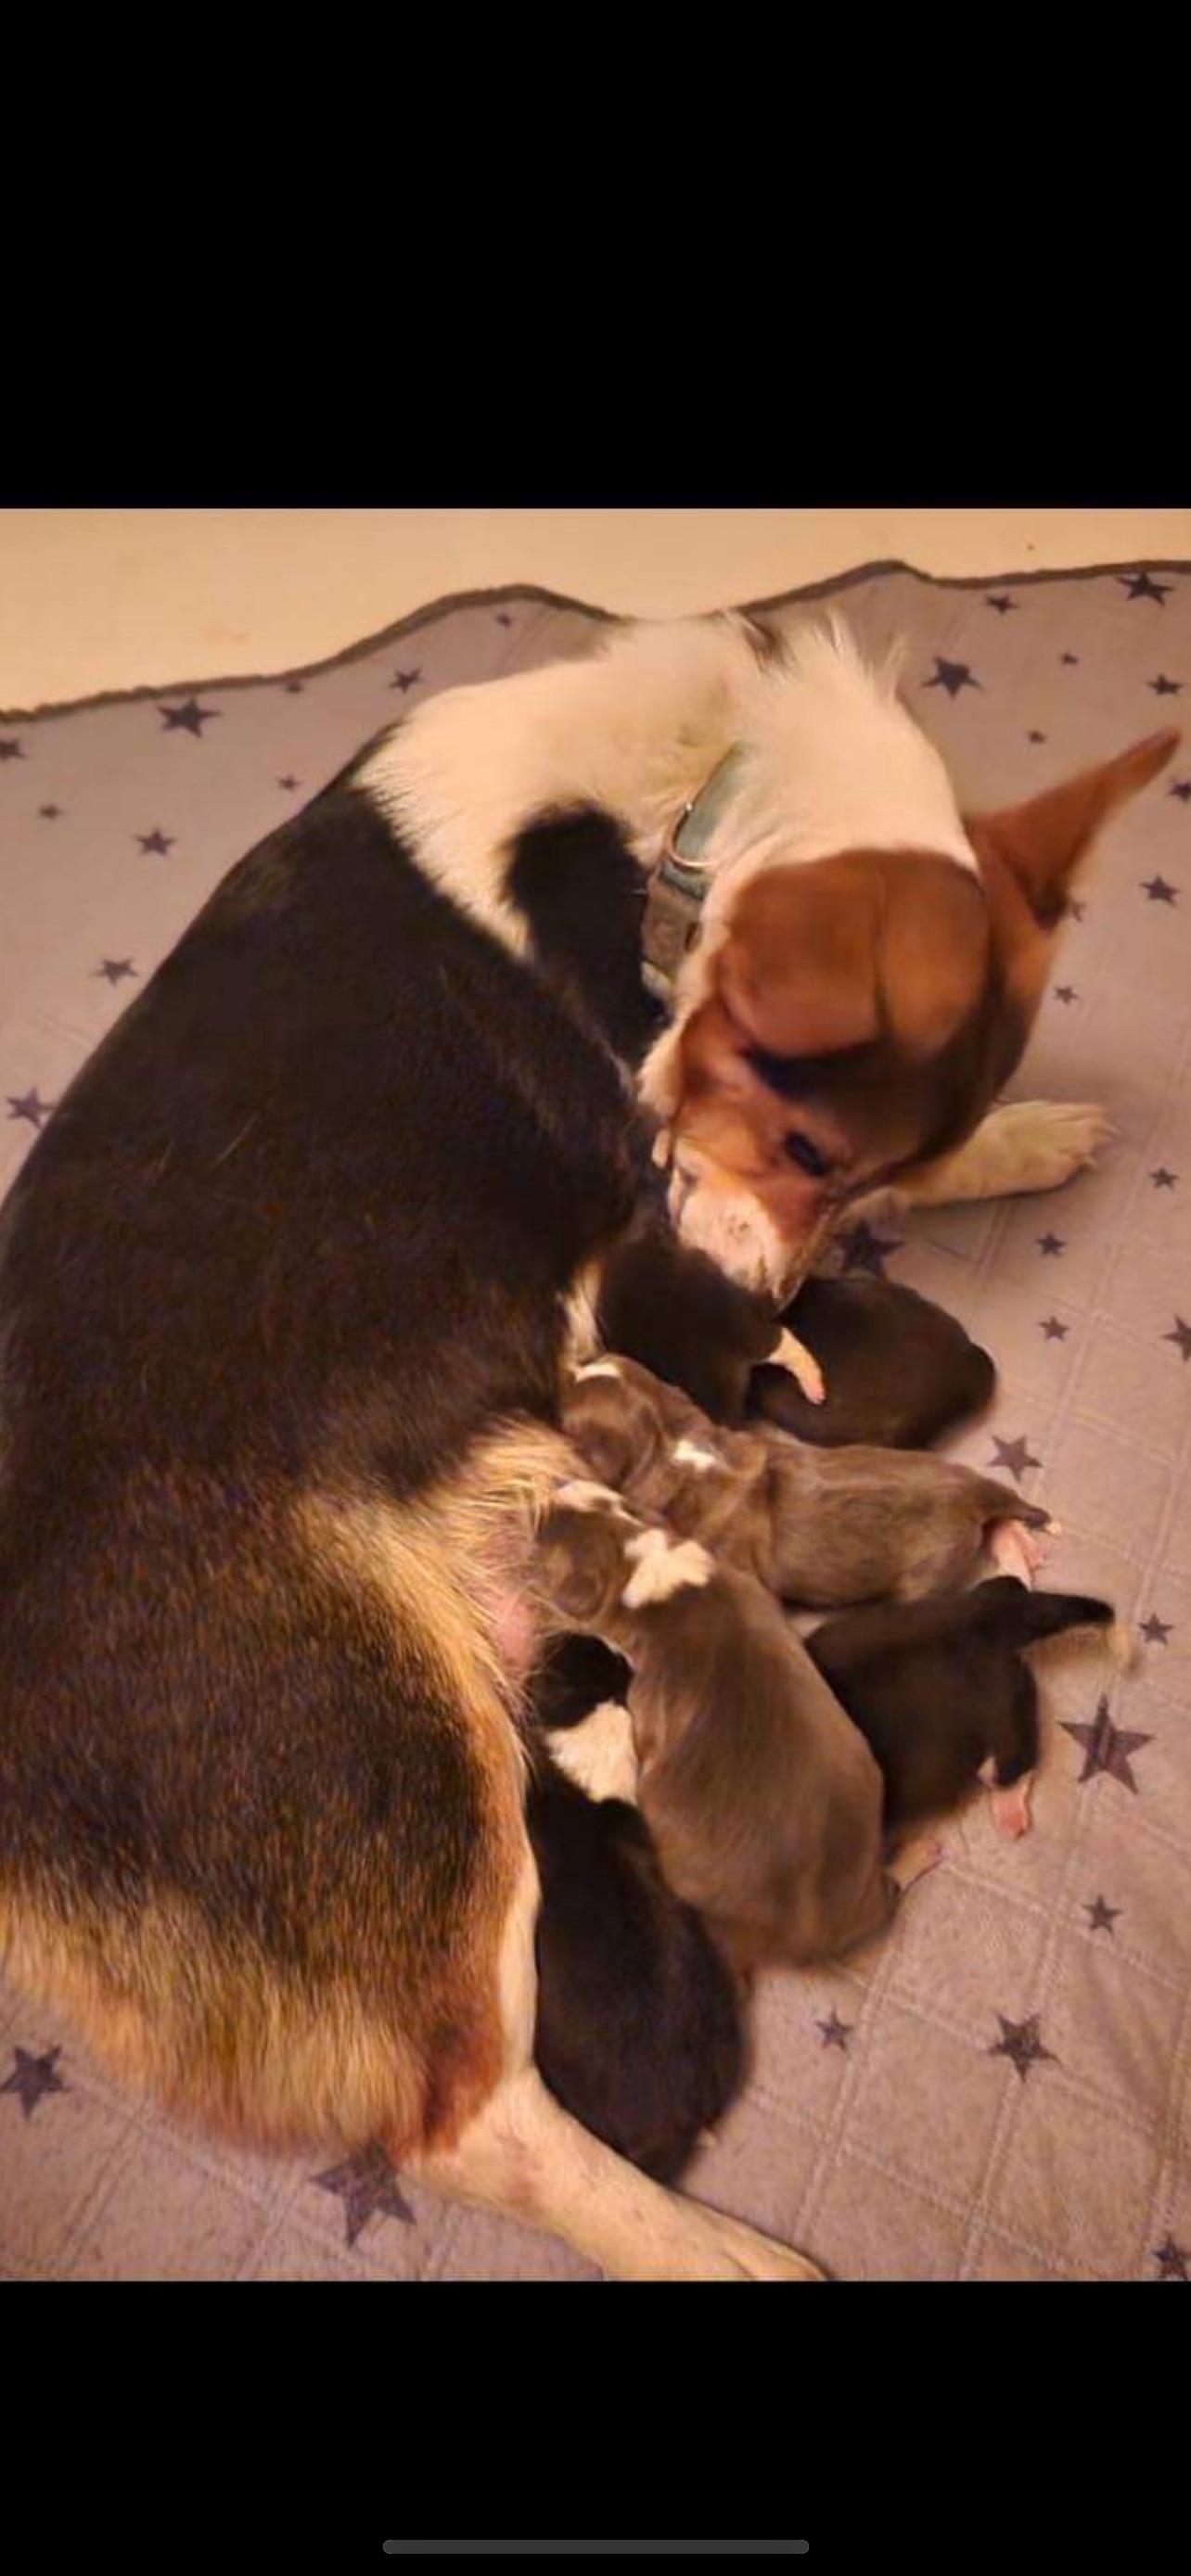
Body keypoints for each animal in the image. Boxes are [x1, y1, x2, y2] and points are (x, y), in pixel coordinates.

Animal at [0, 610, 1170, 2280]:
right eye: (801, 1144)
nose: (765, 1321)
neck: (688, 818)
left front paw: (1021, 1133)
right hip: (415, 1773)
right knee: (468, 2118)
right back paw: (722, 2252)